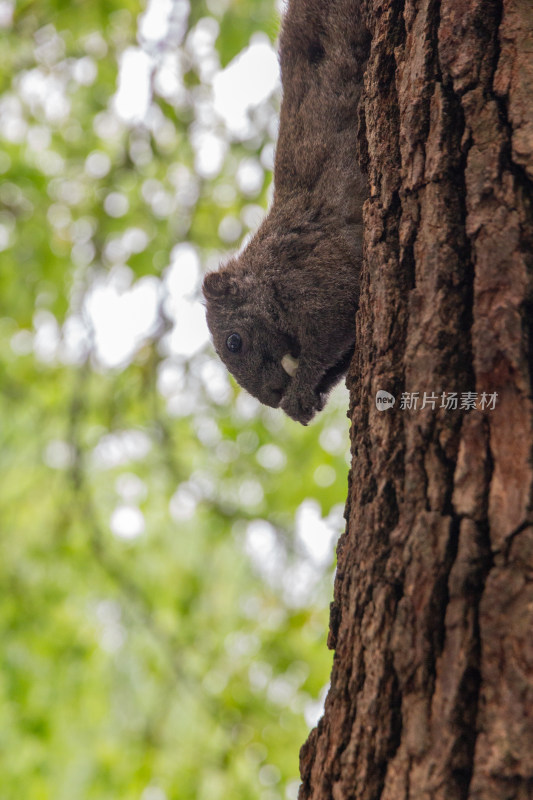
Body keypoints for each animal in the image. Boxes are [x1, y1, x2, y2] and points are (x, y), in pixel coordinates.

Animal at [202, 0, 368, 424]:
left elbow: (333, 329)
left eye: (234, 341)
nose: (273, 396)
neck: (268, 272)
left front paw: (299, 392)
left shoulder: (317, 277)